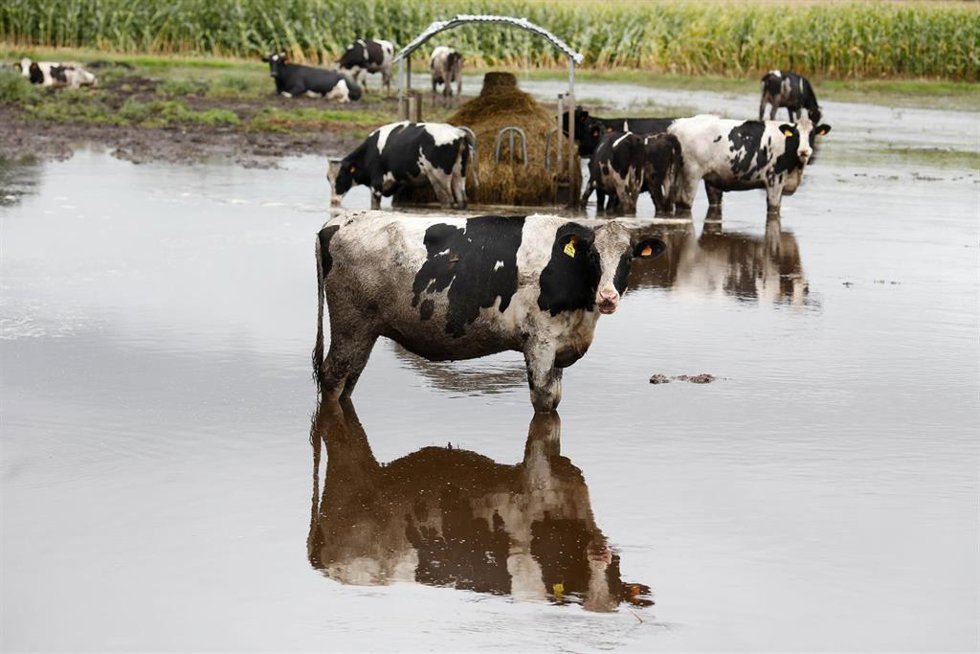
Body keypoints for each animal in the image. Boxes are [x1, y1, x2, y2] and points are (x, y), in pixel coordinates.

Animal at [312, 211, 667, 412]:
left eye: (629, 258)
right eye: (593, 256)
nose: (607, 296)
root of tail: (337, 222)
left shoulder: (560, 346)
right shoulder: (539, 343)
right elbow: (544, 401)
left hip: (365, 331)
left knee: (349, 381)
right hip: (350, 324)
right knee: (332, 377)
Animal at [327, 121, 473, 210]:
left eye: (340, 178)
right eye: (328, 178)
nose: (333, 201)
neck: (370, 152)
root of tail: (458, 132)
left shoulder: (376, 185)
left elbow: (375, 206)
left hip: (439, 177)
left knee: (448, 201)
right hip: (460, 173)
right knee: (462, 199)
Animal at [667, 114, 831, 214]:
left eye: (812, 134)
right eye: (796, 134)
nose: (804, 151)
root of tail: (677, 125)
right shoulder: (774, 181)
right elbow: (773, 209)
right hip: (691, 175)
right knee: (684, 203)